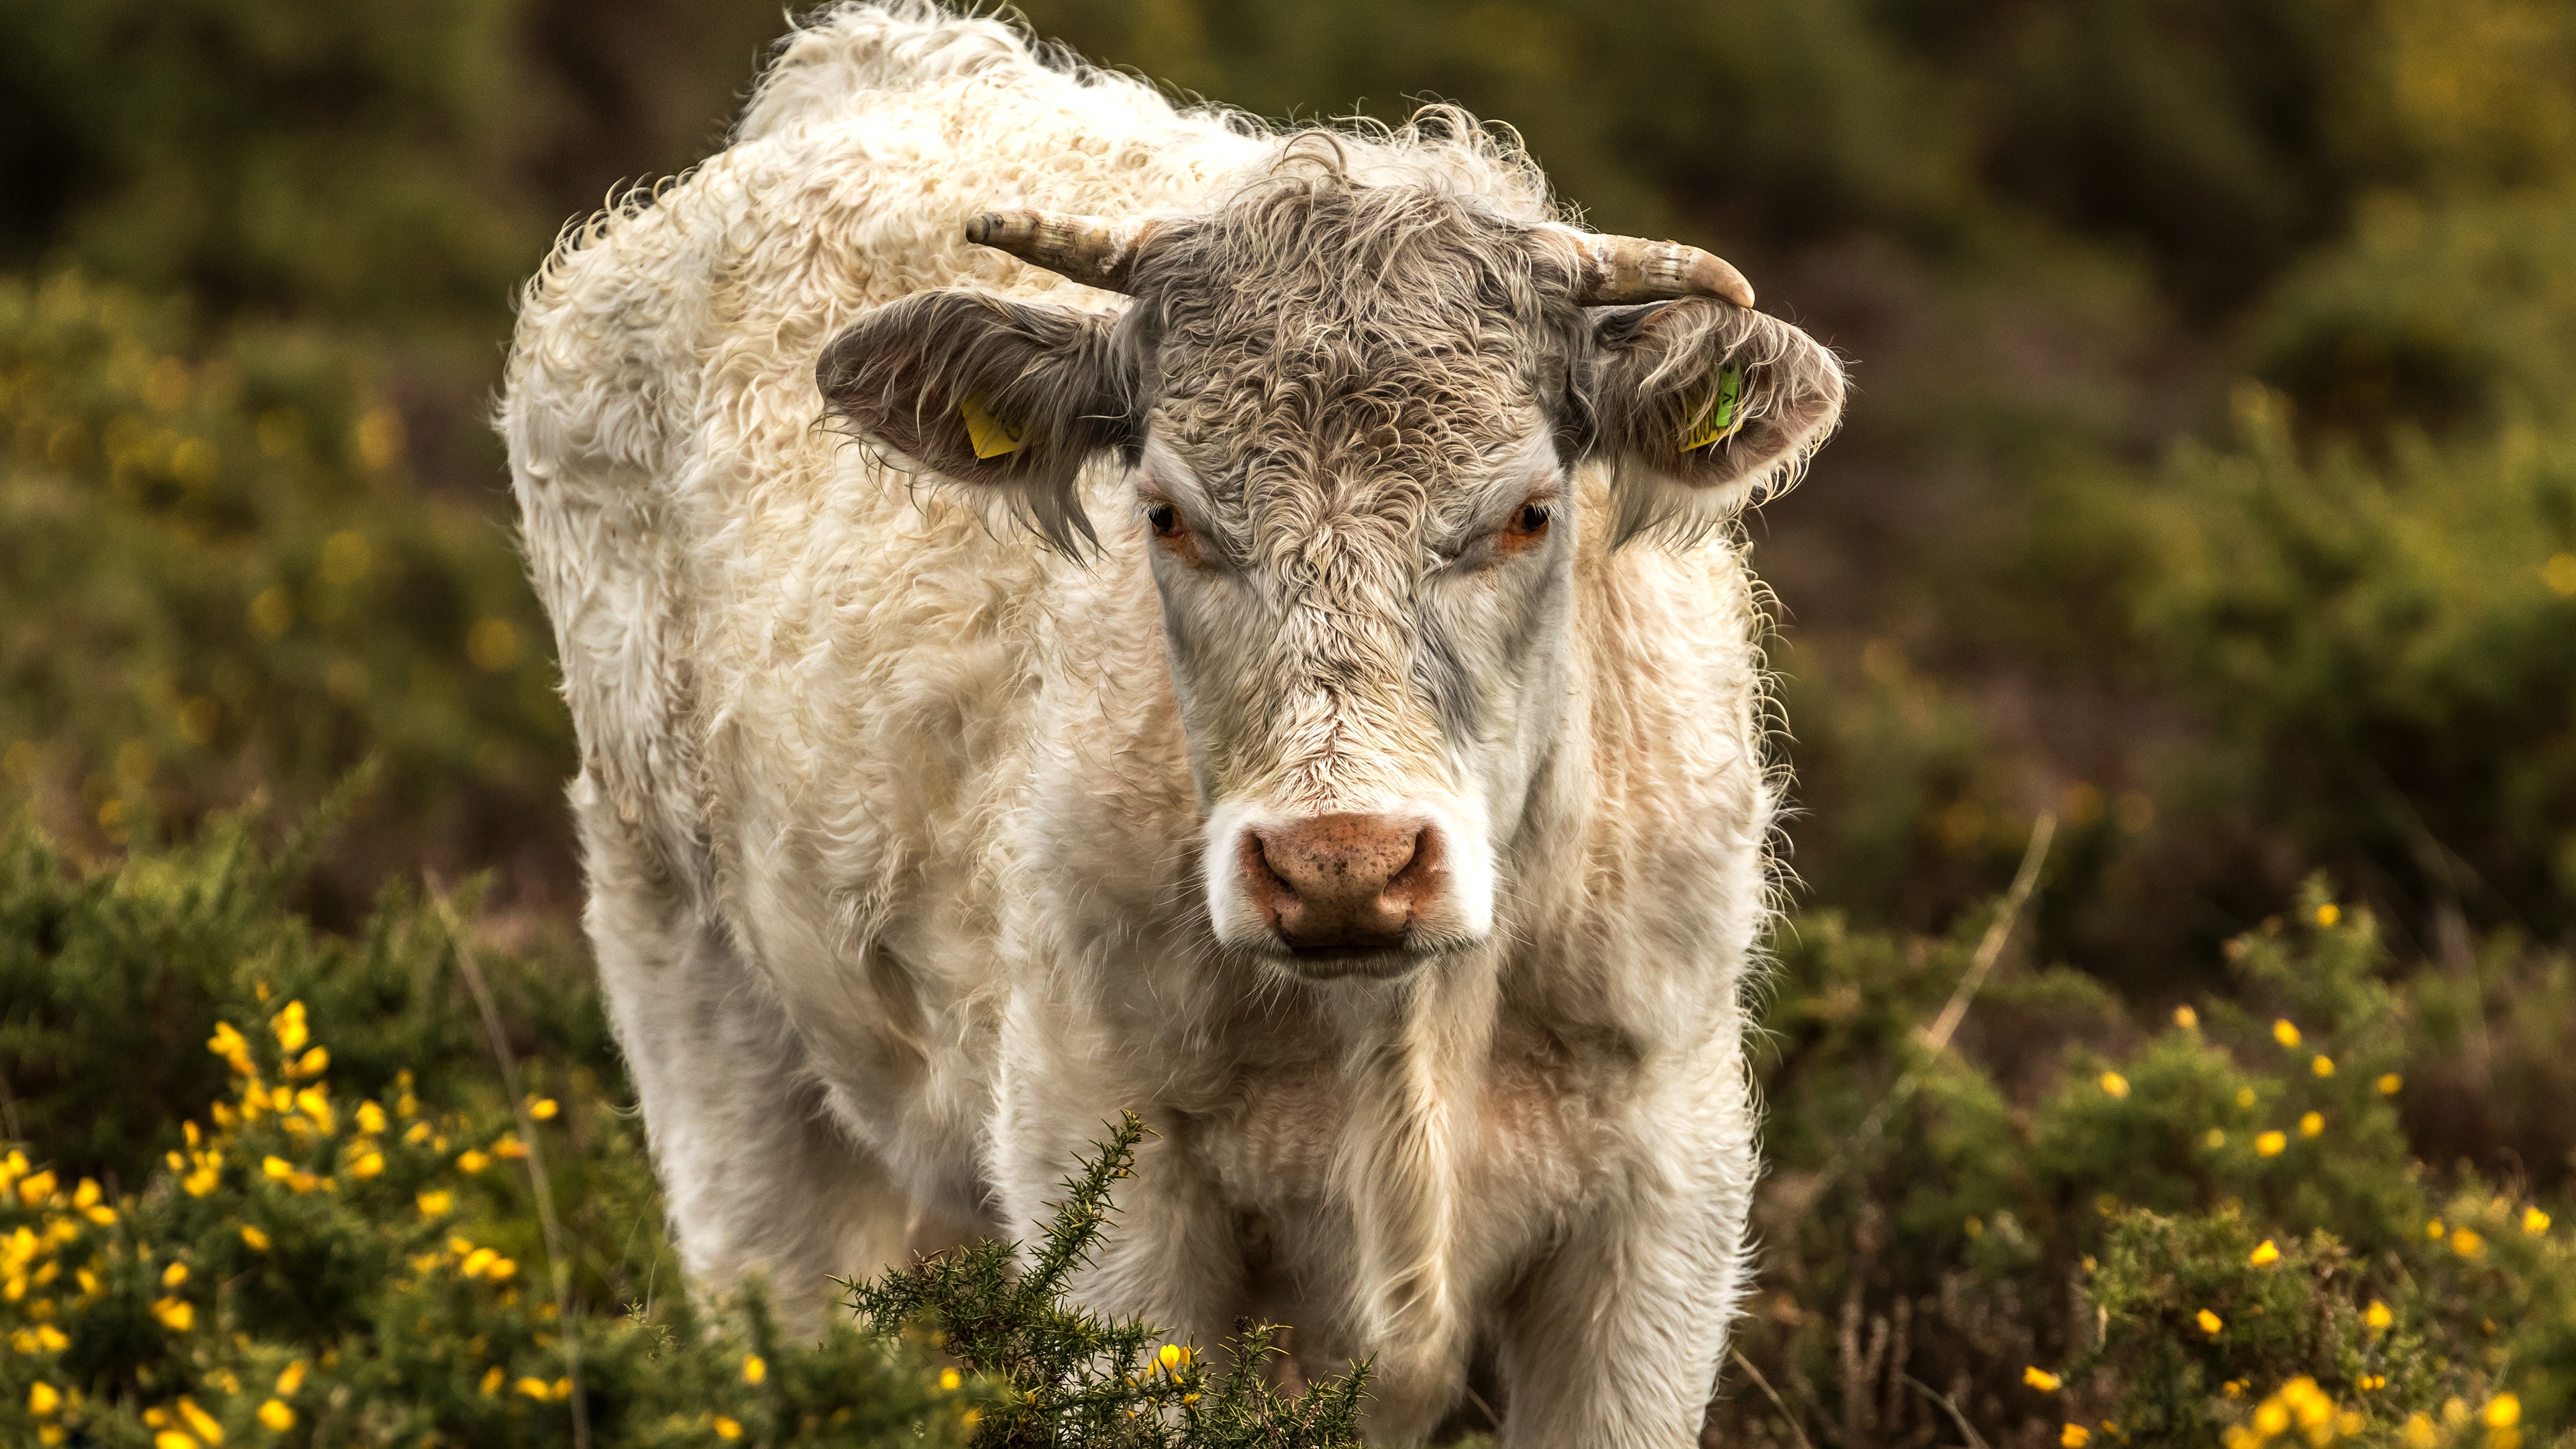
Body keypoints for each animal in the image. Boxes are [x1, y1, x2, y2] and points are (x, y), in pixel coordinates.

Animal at [497, 5, 1834, 1433]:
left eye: (1531, 511)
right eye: (1168, 513)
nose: (1342, 865)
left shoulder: (1664, 1202)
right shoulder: (1106, 1186)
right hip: (694, 973)